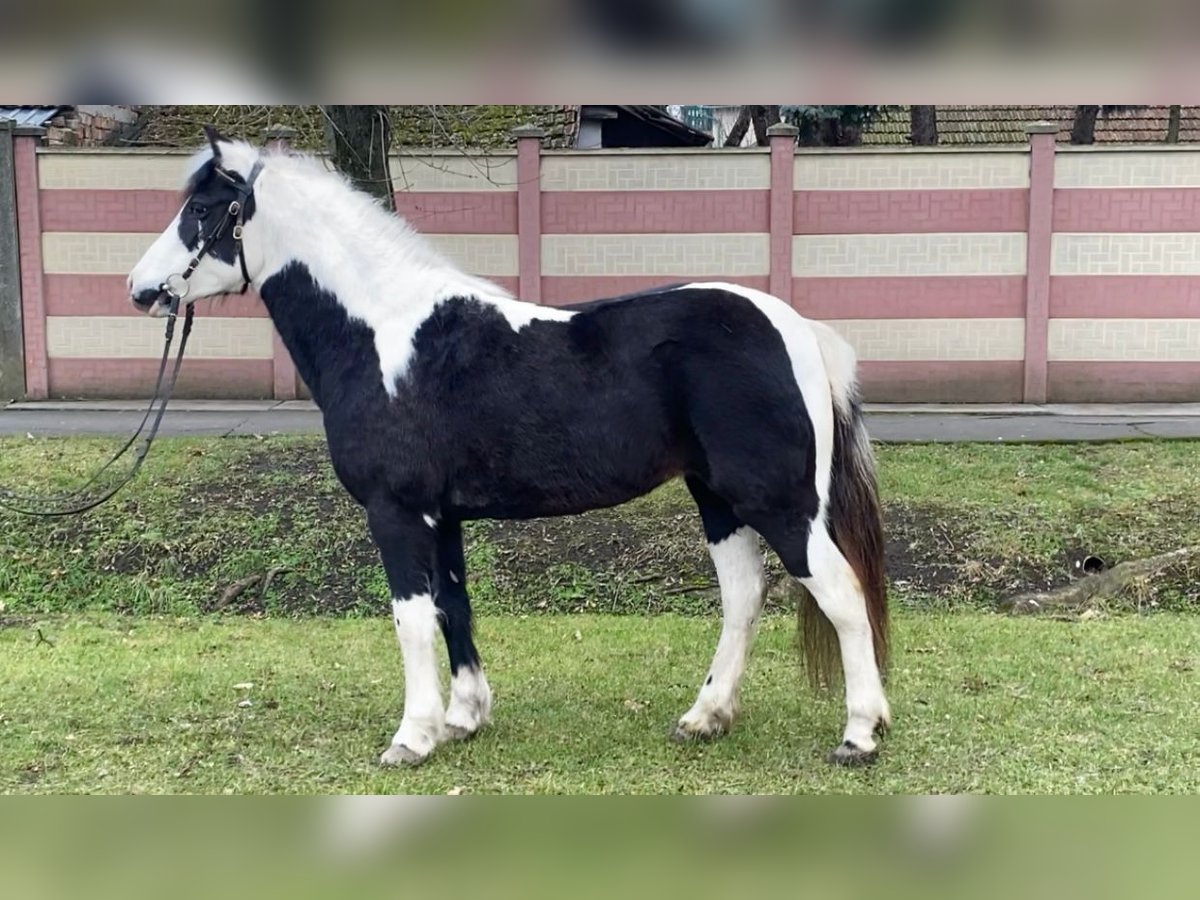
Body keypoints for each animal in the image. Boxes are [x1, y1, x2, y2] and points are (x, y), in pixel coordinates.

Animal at [126, 130, 892, 772]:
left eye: (202, 209)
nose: (140, 290)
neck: (384, 336)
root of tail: (797, 328)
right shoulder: (442, 517)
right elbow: (452, 605)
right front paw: (463, 718)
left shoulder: (395, 512)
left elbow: (410, 617)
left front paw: (411, 737)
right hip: (718, 498)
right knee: (743, 595)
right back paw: (705, 717)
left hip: (779, 503)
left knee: (841, 593)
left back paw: (859, 734)